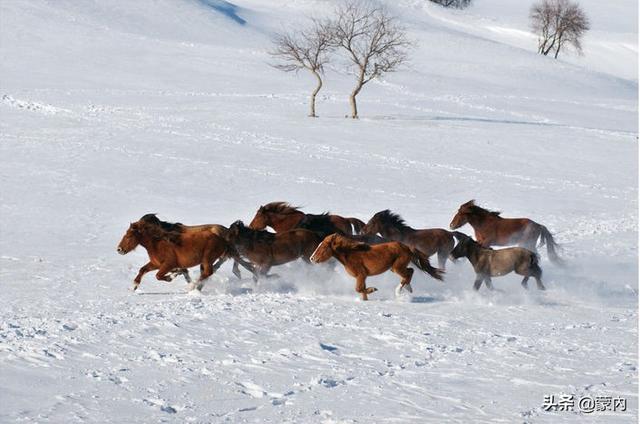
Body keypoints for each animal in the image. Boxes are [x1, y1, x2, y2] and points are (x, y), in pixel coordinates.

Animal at [312, 234, 444, 300]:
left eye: (323, 246)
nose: (312, 258)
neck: (349, 254)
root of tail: (407, 248)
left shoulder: (361, 275)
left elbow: (359, 289)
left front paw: (373, 289)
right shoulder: (363, 277)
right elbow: (362, 291)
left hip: (397, 267)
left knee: (408, 273)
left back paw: (399, 291)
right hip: (394, 268)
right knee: (410, 271)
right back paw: (408, 288)